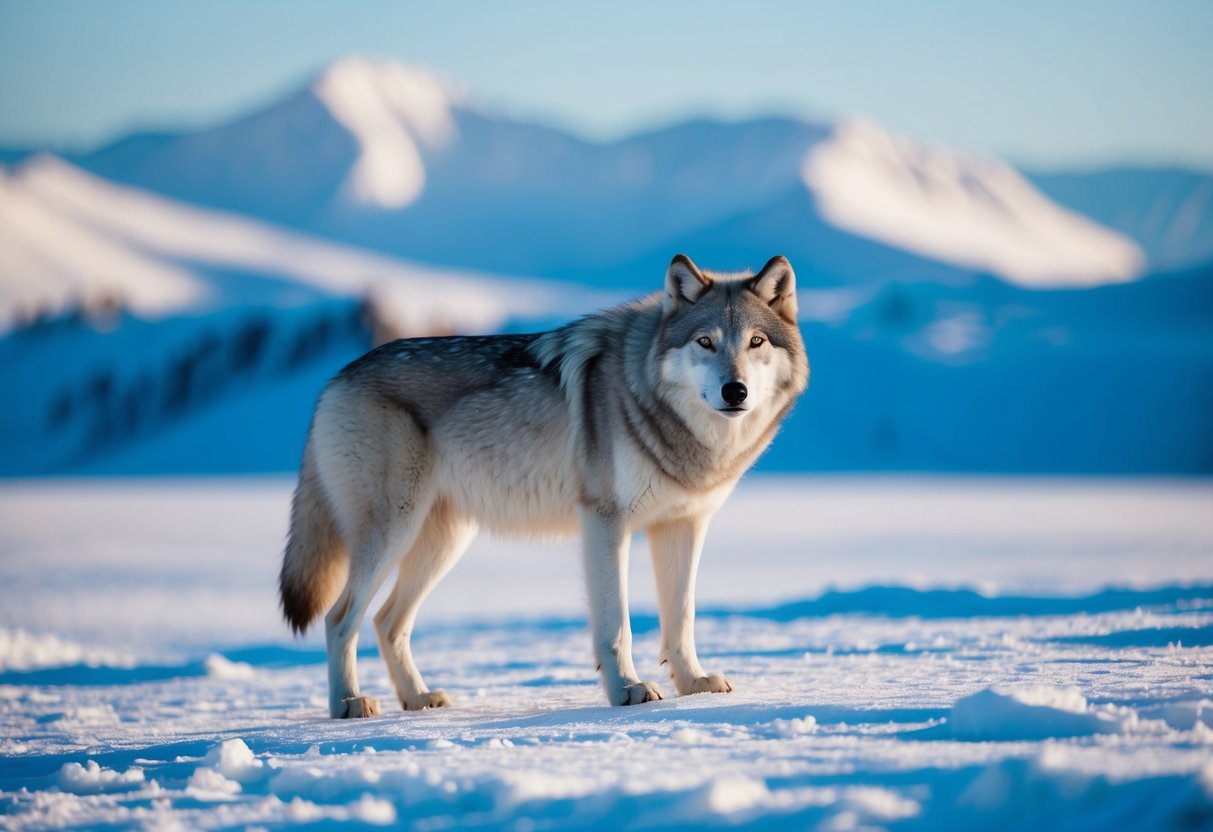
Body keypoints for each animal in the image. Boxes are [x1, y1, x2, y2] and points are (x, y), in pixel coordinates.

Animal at [279, 254, 809, 717]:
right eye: (704, 342)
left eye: (755, 342)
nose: (734, 391)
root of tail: (334, 381)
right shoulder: (604, 522)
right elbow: (617, 624)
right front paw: (628, 691)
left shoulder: (683, 525)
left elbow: (681, 619)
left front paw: (694, 684)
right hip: (394, 532)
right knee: (340, 618)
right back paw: (348, 704)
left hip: (442, 542)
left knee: (387, 621)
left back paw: (418, 699)